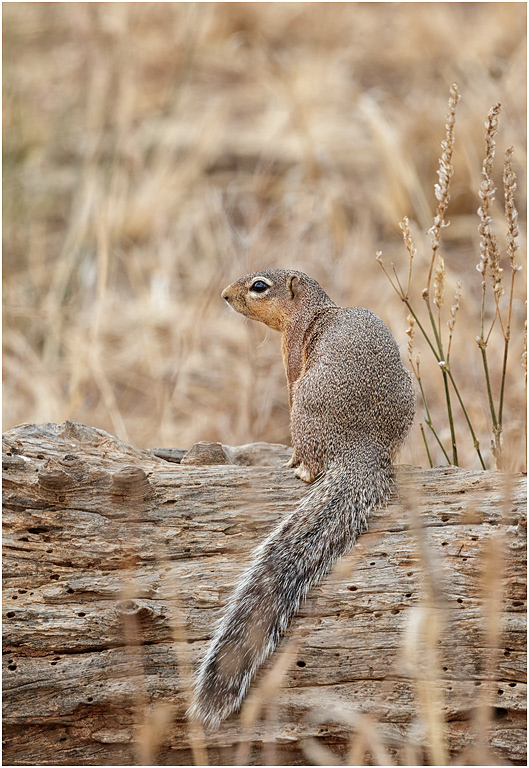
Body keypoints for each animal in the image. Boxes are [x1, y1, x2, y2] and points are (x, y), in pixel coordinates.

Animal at [189, 269, 415, 728]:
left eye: (259, 286)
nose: (224, 295)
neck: (312, 310)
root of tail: (359, 449)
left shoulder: (293, 358)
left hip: (304, 411)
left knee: (310, 458)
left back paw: (298, 467)